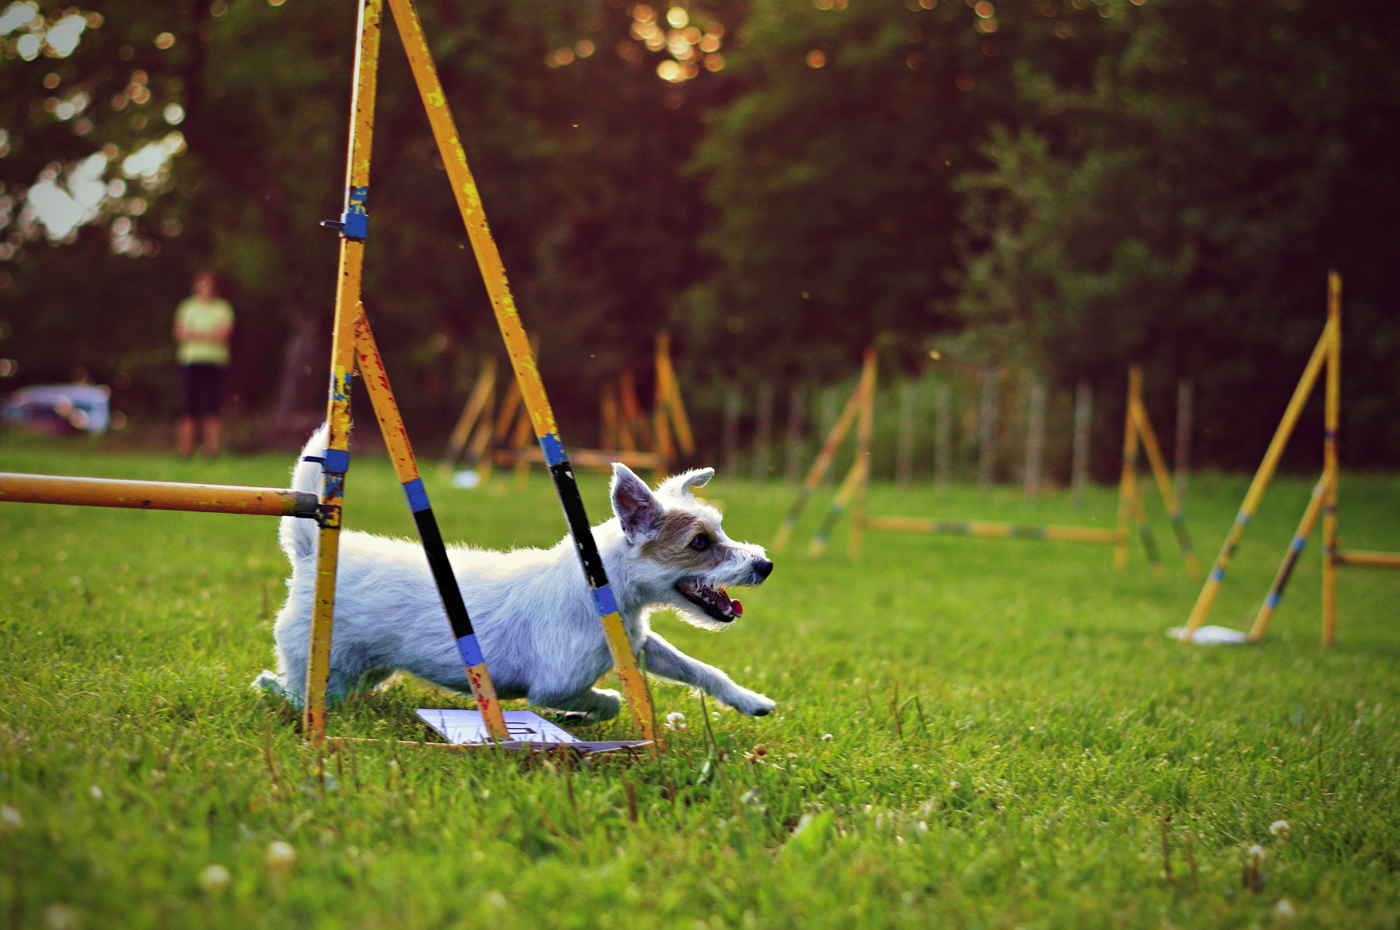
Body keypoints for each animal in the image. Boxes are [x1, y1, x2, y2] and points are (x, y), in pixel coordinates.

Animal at [252, 425, 778, 722]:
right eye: (699, 544)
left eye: (719, 528)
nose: (765, 565)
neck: (604, 590)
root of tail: (309, 554)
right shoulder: (554, 683)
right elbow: (604, 700)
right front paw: (575, 716)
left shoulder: (640, 645)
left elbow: (699, 669)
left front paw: (749, 700)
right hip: (324, 666)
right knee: (293, 690)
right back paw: (273, 691)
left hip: (369, 669)